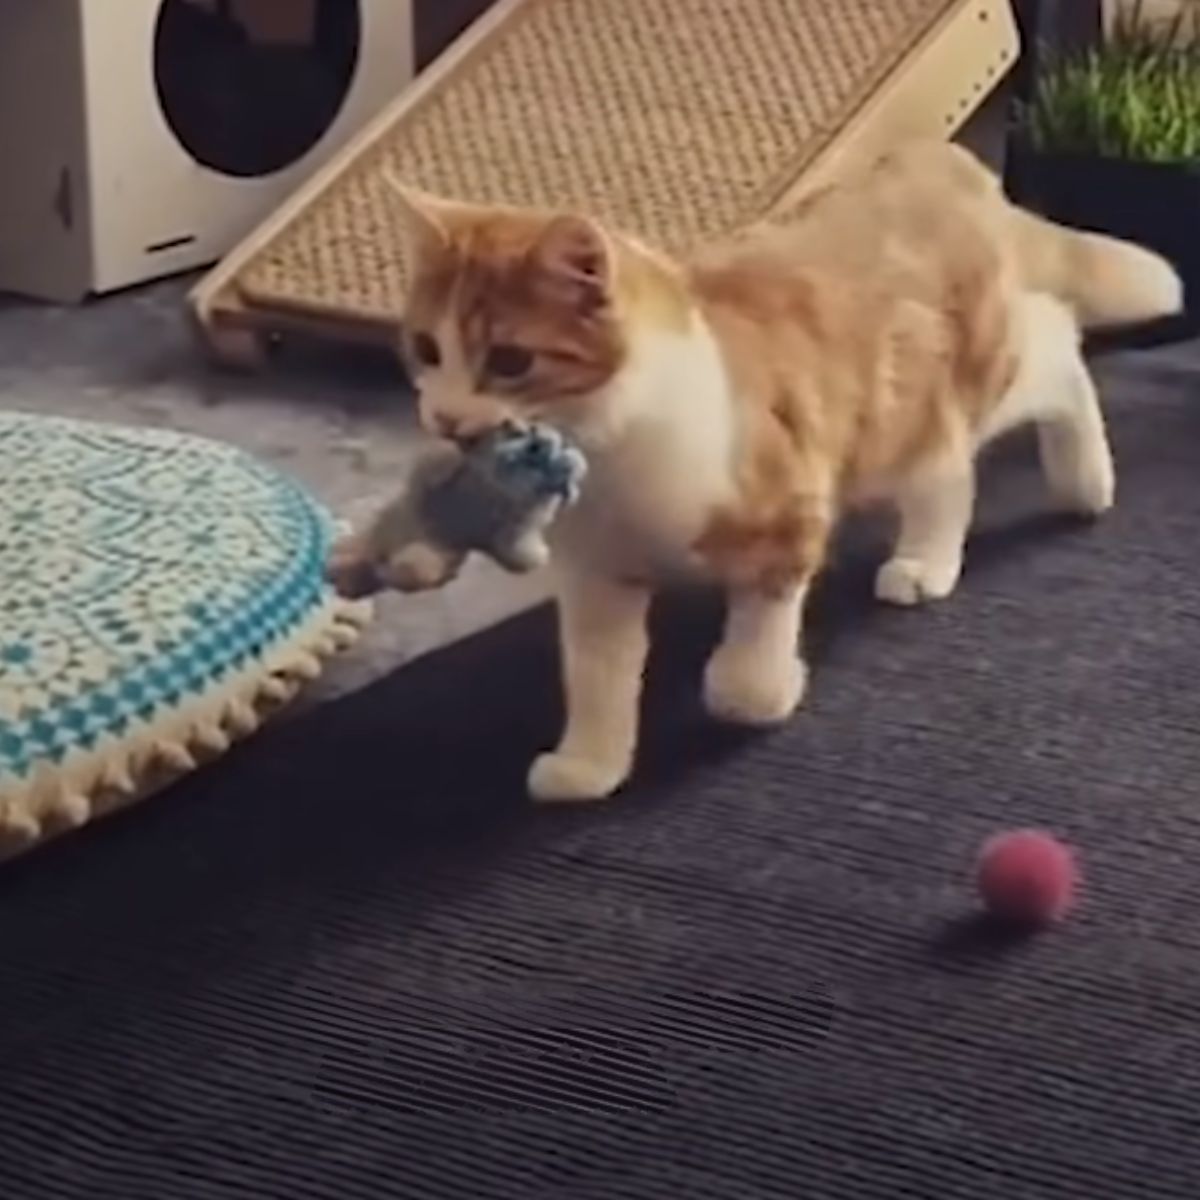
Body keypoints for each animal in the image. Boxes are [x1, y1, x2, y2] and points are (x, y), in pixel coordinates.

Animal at [338, 142, 1180, 806]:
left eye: (511, 360)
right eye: (425, 348)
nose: (445, 418)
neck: (615, 448)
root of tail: (940, 161)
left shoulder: (785, 517)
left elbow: (750, 659)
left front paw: (756, 690)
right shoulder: (598, 576)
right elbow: (598, 674)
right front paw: (590, 762)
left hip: (933, 402)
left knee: (1030, 380)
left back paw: (1015, 516)